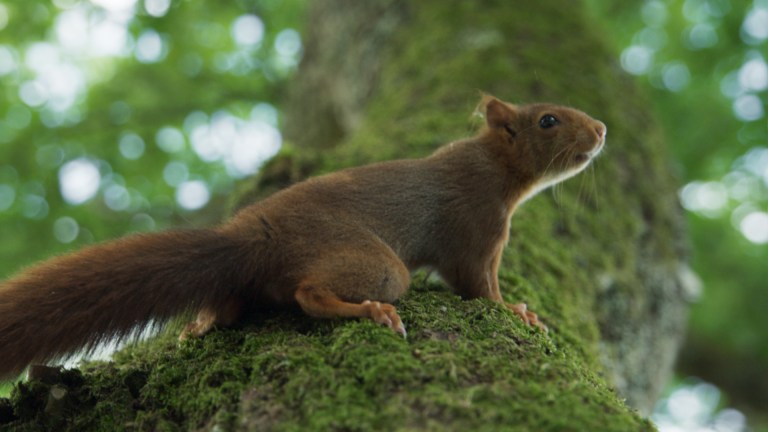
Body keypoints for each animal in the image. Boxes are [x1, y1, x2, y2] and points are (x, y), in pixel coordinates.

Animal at [0, 96, 608, 380]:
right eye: (548, 120)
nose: (602, 130)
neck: (494, 165)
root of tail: (251, 239)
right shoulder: (478, 226)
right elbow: (480, 287)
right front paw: (520, 311)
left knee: (233, 304)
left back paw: (201, 323)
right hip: (379, 266)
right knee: (308, 295)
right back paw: (370, 311)